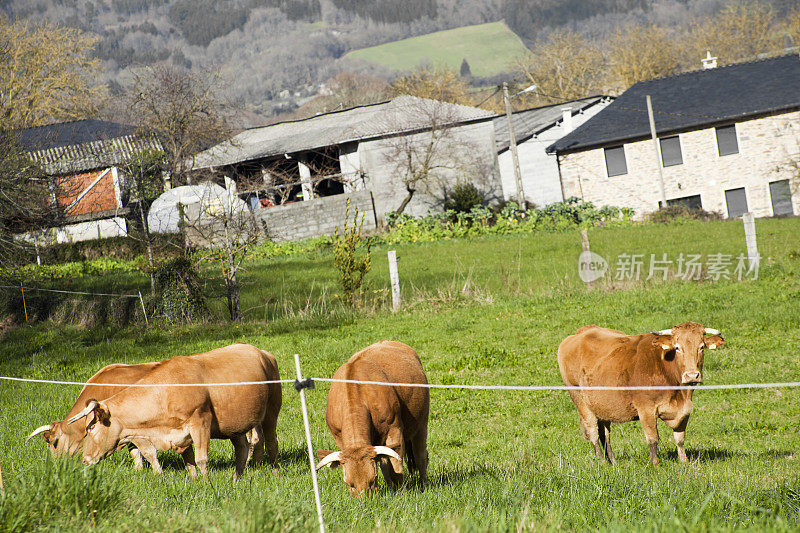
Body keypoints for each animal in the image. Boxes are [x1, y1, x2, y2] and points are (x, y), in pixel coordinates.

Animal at [67, 342, 282, 480]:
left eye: (91, 430)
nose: (85, 460)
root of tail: (263, 353)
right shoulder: (179, 433)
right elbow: (189, 460)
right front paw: (195, 482)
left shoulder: (200, 422)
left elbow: (201, 459)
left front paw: (207, 484)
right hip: (235, 425)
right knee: (242, 448)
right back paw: (237, 478)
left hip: (271, 412)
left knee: (272, 444)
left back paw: (275, 473)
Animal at [314, 340, 432, 494]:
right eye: (349, 484)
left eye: (372, 479)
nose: (364, 499)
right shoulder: (338, 437)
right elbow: (385, 465)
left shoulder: (394, 430)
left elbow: (396, 466)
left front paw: (401, 492)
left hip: (422, 423)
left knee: (420, 456)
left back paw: (424, 484)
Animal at [556, 322, 724, 464]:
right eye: (677, 347)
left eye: (701, 347)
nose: (691, 375)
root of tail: (583, 331)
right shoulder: (646, 409)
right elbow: (653, 439)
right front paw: (654, 464)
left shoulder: (685, 410)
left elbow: (680, 439)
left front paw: (684, 463)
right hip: (580, 400)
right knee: (593, 433)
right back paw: (602, 462)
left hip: (602, 405)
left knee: (605, 434)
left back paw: (613, 462)